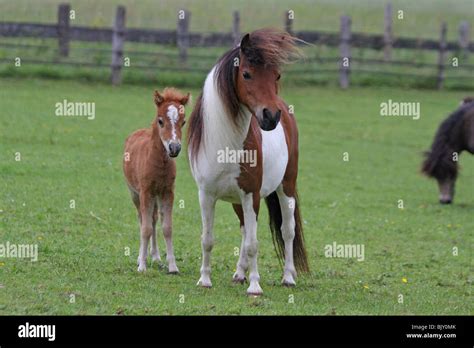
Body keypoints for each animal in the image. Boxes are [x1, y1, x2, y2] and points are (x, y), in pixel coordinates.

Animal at [123, 88, 190, 274]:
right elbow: (145, 228)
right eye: (160, 121)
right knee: (142, 219)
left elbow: (167, 227)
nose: (174, 148)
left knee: (153, 219)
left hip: (156, 196)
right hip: (135, 194)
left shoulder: (167, 192)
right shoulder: (145, 191)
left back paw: (155, 256)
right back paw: (142, 257)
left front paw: (172, 266)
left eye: (183, 122)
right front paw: (142, 266)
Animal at [187, 29, 310, 296]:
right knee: (244, 229)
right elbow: (207, 239)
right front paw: (204, 280)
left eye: (277, 75)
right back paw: (239, 274)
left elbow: (254, 243)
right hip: (237, 201)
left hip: (286, 187)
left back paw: (288, 277)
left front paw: (255, 286)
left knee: (287, 230)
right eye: (246, 74)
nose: (271, 116)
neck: (226, 145)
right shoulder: (206, 195)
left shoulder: (251, 194)